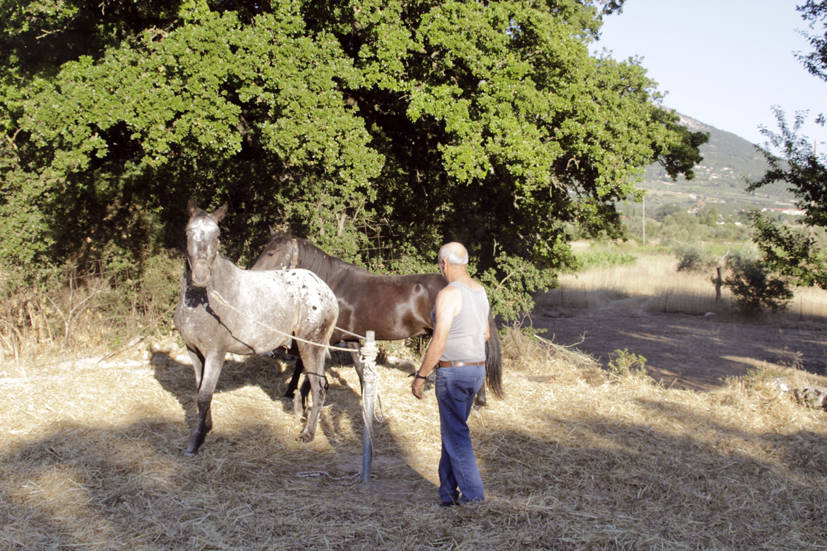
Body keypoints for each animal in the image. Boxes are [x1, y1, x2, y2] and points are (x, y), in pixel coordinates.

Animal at [175, 203, 340, 458]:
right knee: (319, 385)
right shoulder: (193, 351)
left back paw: (308, 434)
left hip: (310, 348)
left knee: (319, 389)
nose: (200, 276)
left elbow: (204, 396)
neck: (204, 302)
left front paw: (196, 443)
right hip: (303, 349)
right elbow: (200, 392)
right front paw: (206, 429)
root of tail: (326, 291)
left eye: (217, 235)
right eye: (187, 233)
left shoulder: (215, 353)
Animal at [252, 230, 502, 406]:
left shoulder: (326, 336)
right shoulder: (350, 338)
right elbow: (358, 369)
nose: (252, 272)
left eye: (272, 252)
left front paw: (294, 393)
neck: (331, 286)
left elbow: (305, 364)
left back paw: (476, 400)